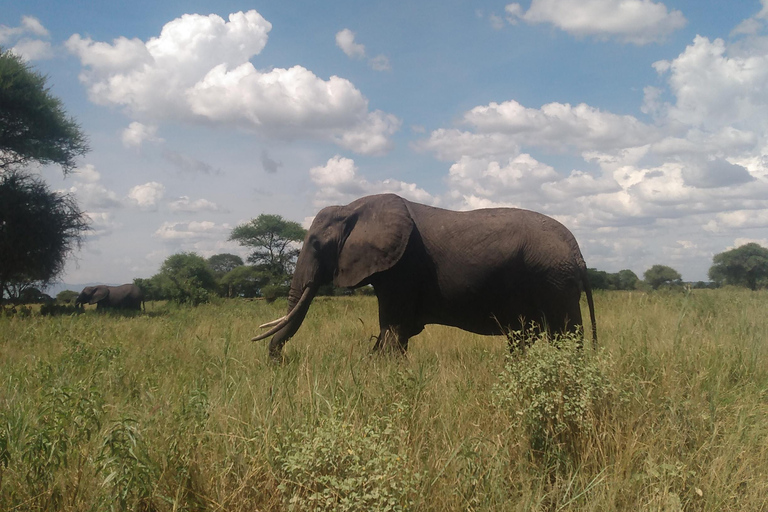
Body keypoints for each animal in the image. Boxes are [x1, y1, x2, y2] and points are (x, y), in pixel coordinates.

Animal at [255, 193, 596, 360]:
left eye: (315, 244)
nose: (279, 362)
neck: (352, 207)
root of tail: (577, 251)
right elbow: (395, 332)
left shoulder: (403, 266)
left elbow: (393, 330)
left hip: (553, 280)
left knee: (565, 336)